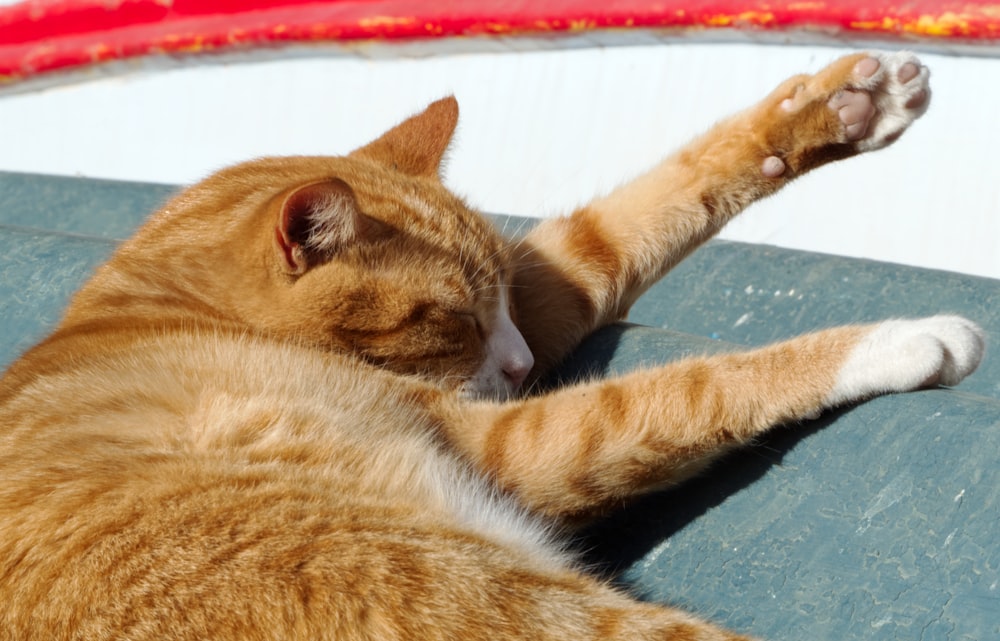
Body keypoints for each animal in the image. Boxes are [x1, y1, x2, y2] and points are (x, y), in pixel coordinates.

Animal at [0, 51, 984, 640]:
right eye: (455, 317)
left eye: (500, 298)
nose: (514, 367)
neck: (151, 310)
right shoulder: (512, 434)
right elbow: (694, 386)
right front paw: (899, 339)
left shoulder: (547, 300)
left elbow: (629, 219)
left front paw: (832, 112)